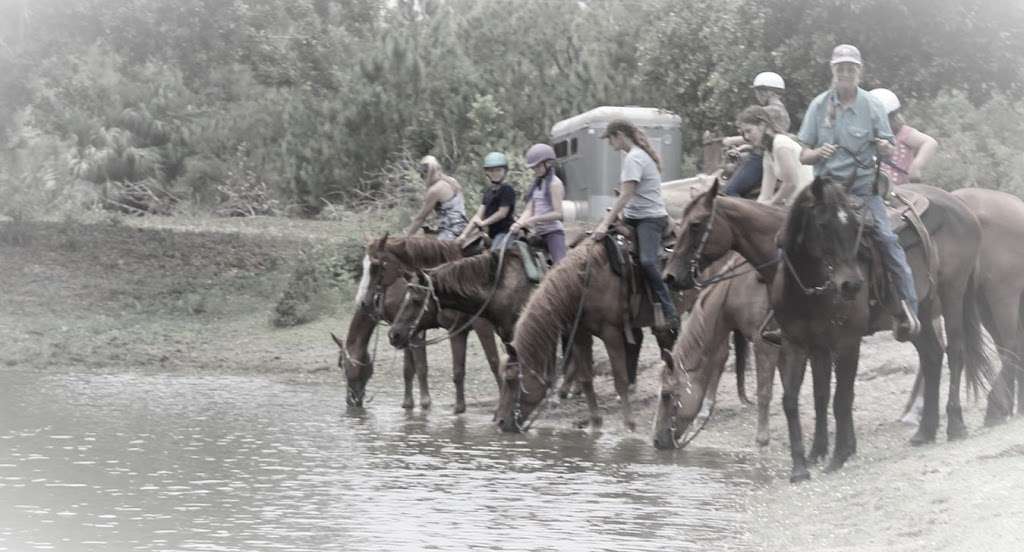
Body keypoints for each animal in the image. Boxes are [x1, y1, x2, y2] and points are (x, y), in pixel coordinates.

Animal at [331, 234, 499, 413]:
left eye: (343, 365)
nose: (351, 400)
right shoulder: (405, 331)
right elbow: (409, 369)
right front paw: (408, 403)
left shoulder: (476, 327)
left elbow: (421, 366)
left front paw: (425, 403)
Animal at [651, 253, 778, 448]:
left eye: (666, 395)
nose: (656, 440)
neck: (737, 289)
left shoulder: (764, 343)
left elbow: (764, 390)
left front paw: (762, 438)